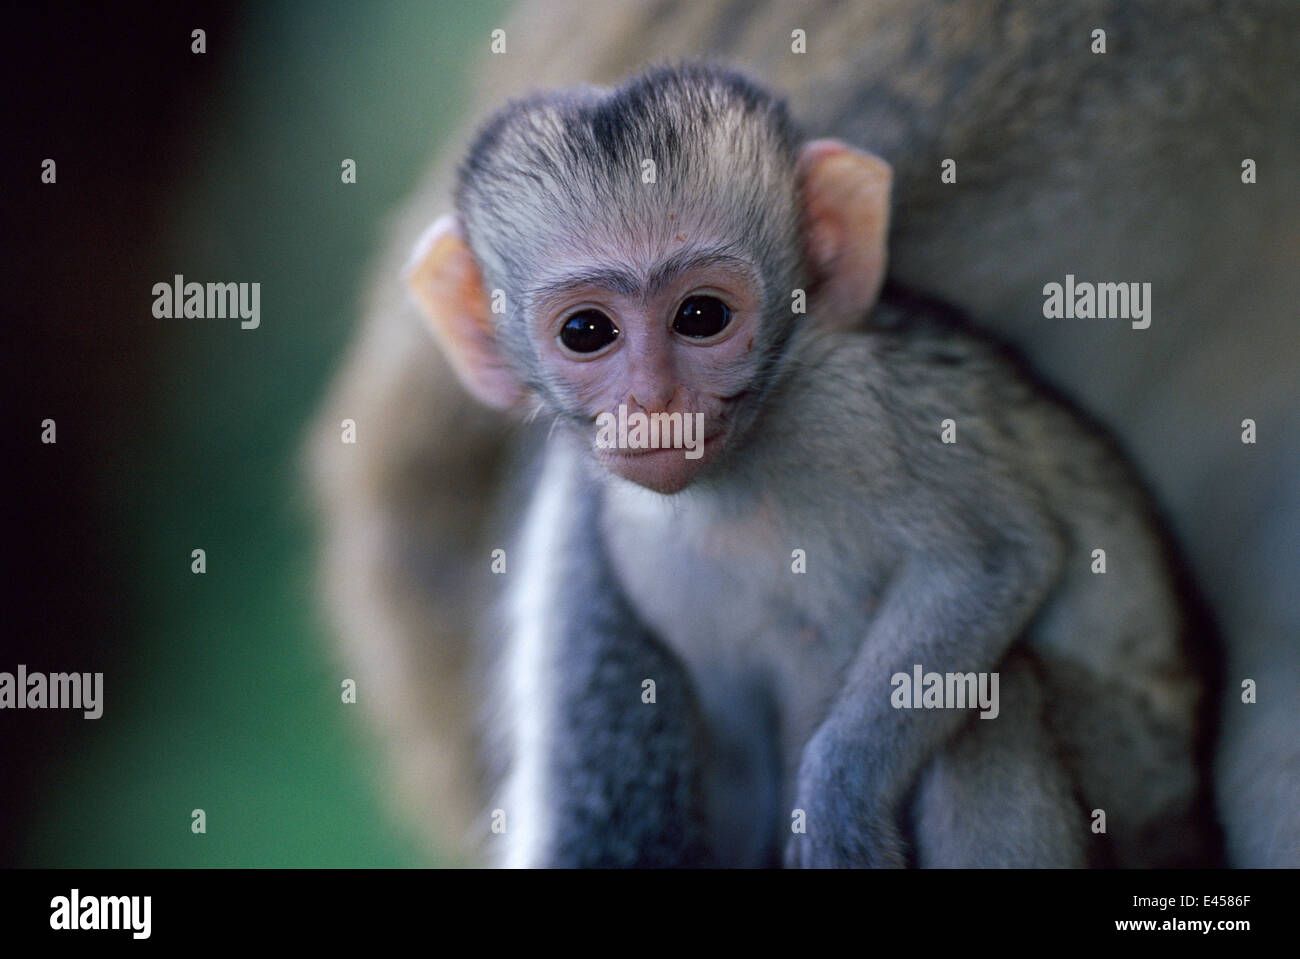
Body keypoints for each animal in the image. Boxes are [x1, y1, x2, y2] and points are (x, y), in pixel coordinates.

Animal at [307, 0, 1299, 866]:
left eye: (702, 316)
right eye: (587, 331)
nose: (654, 403)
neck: (743, 481)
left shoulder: (853, 410)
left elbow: (995, 556)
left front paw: (838, 797)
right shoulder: (645, 551)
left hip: (1144, 782)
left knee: (997, 704)